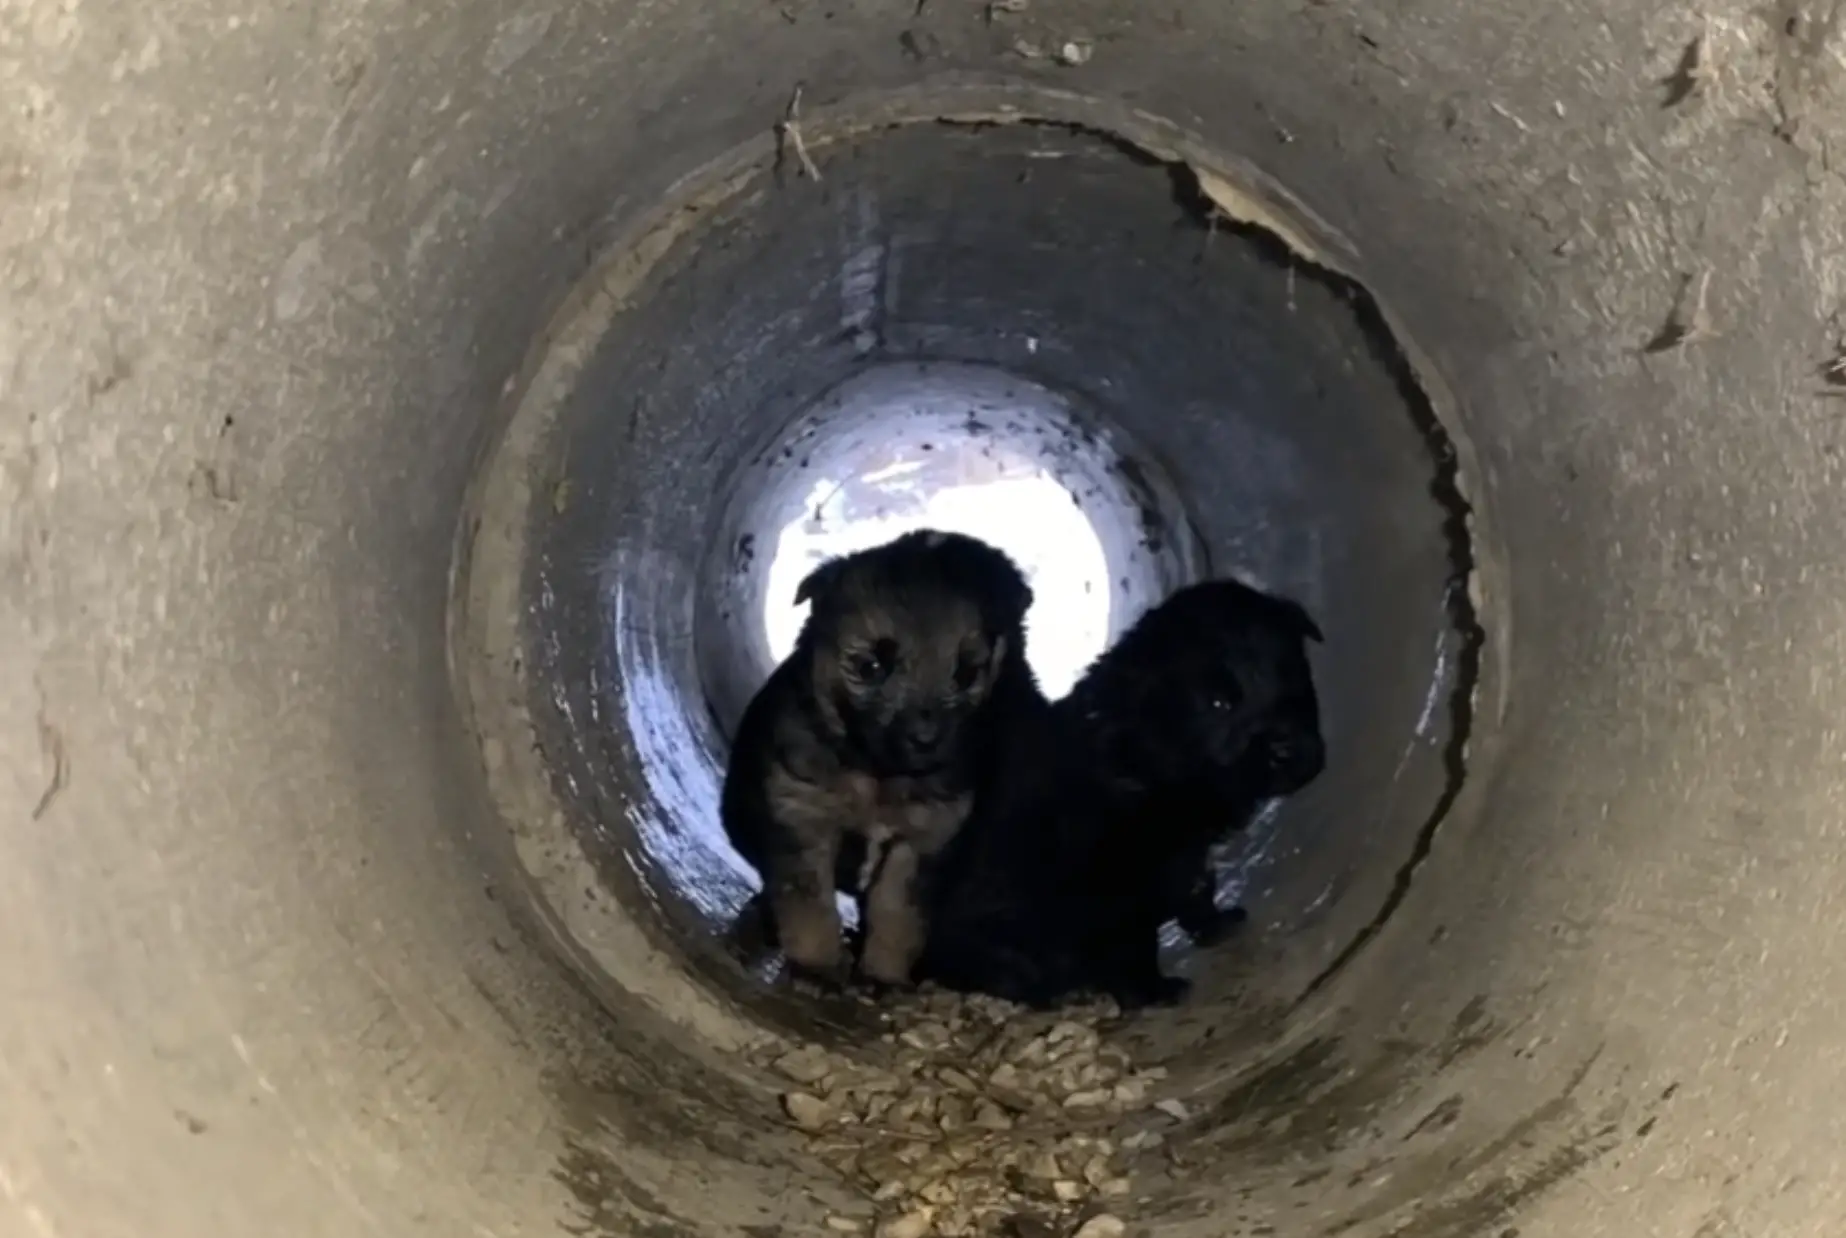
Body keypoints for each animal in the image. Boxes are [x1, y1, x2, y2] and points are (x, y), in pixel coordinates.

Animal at [719, 531, 1048, 988]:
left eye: (967, 673)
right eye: (870, 666)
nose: (926, 740)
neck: (876, 775)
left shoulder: (924, 838)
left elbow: (897, 913)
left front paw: (882, 976)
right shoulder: (803, 815)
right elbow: (807, 902)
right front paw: (818, 968)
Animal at [923, 575, 1329, 1011]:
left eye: (1293, 672)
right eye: (1219, 703)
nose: (1293, 753)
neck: (1147, 757)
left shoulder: (1186, 855)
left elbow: (1198, 893)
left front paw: (1217, 926)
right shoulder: (1112, 883)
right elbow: (1130, 945)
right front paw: (1153, 991)